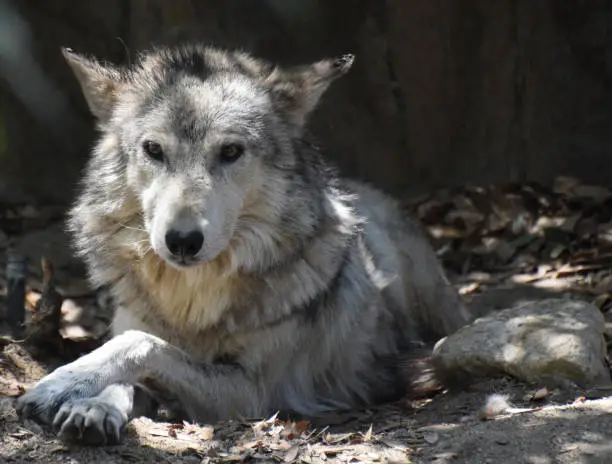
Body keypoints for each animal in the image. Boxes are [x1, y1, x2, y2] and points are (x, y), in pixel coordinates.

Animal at [15, 43, 474, 446]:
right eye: (153, 150)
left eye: (231, 151)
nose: (182, 241)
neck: (190, 306)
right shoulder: (141, 329)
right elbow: (129, 362)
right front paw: (91, 406)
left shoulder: (253, 392)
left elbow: (140, 345)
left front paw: (60, 383)